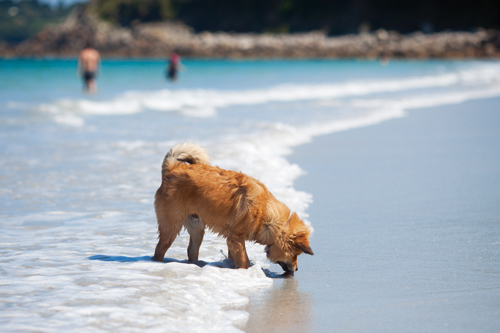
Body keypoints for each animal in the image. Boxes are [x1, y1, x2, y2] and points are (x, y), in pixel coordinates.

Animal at [152, 141, 312, 274]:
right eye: (296, 254)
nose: (297, 269)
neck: (267, 212)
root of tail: (173, 169)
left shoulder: (233, 240)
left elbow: (233, 257)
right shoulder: (235, 239)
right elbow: (244, 261)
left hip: (197, 229)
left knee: (191, 250)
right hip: (171, 228)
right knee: (159, 250)